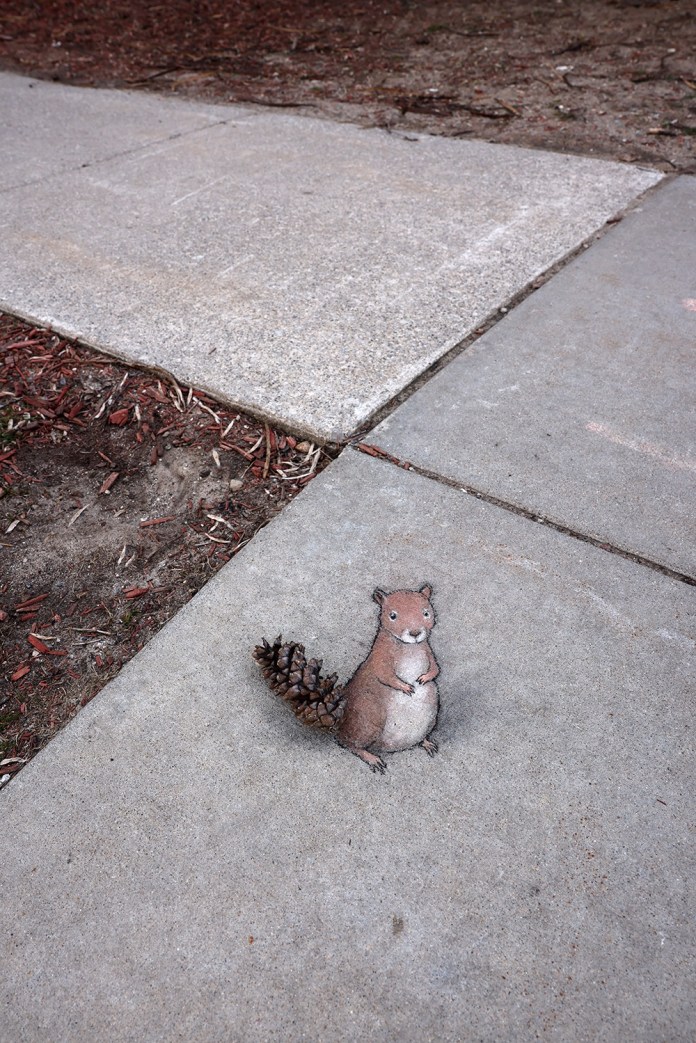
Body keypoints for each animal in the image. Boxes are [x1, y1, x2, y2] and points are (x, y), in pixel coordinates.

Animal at [252, 584, 440, 774]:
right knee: (351, 744)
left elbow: (435, 668)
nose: (415, 633)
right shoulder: (379, 658)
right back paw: (372, 758)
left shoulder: (428, 652)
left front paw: (425, 677)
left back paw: (426, 743)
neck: (410, 647)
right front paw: (405, 687)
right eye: (392, 615)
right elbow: (384, 675)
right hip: (370, 719)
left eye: (426, 612)